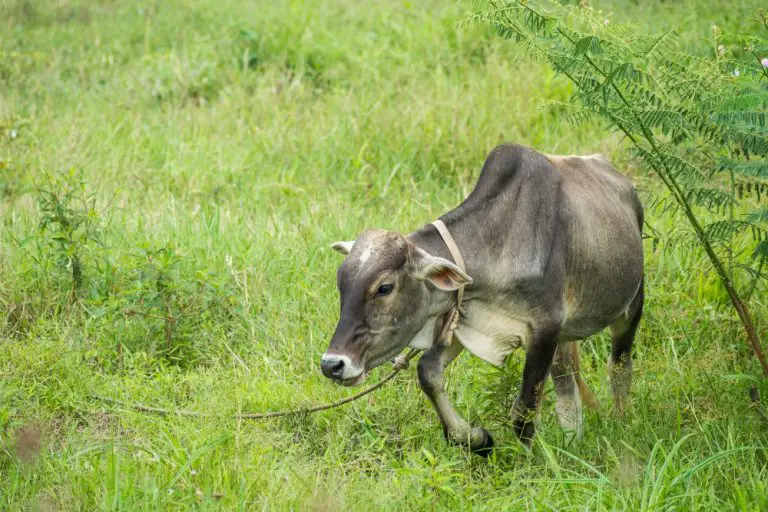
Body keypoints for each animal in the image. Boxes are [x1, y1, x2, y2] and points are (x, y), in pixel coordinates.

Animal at [320, 142, 644, 454]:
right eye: (341, 284)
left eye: (384, 287)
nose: (331, 365)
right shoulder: (462, 320)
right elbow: (428, 372)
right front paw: (475, 438)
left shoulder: (545, 328)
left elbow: (523, 412)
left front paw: (528, 464)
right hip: (565, 334)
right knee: (565, 378)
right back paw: (572, 442)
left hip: (631, 305)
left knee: (619, 368)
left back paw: (621, 422)